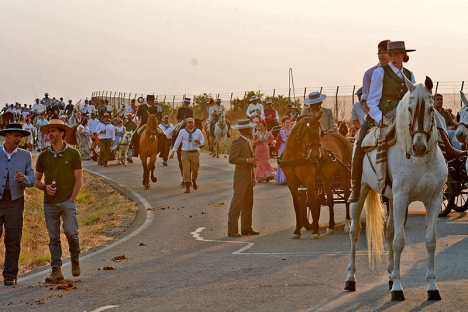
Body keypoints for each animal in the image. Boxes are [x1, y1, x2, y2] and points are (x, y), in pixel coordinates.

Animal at [344, 76, 446, 302]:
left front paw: (432, 287)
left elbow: (430, 241)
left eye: (431, 108)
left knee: (389, 231)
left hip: (390, 199)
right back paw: (350, 279)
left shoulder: (433, 200)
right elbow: (399, 241)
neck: (421, 162)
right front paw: (398, 288)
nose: (419, 146)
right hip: (361, 193)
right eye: (409, 108)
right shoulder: (401, 199)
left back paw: (390, 275)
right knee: (355, 232)